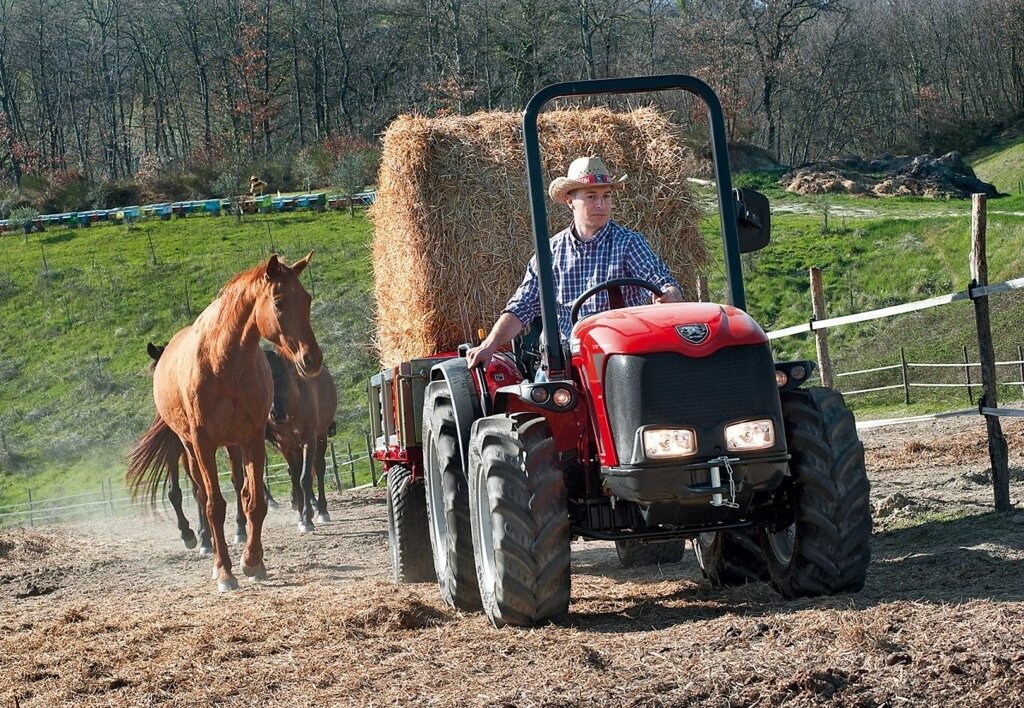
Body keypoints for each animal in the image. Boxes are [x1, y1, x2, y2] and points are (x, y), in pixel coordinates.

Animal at [126, 255, 319, 594]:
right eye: (279, 302)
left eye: (307, 299)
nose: (312, 359)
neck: (223, 362)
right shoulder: (202, 443)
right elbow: (214, 505)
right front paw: (225, 572)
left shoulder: (252, 438)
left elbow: (255, 502)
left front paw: (253, 562)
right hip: (190, 448)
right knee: (202, 496)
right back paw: (208, 548)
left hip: (232, 445)